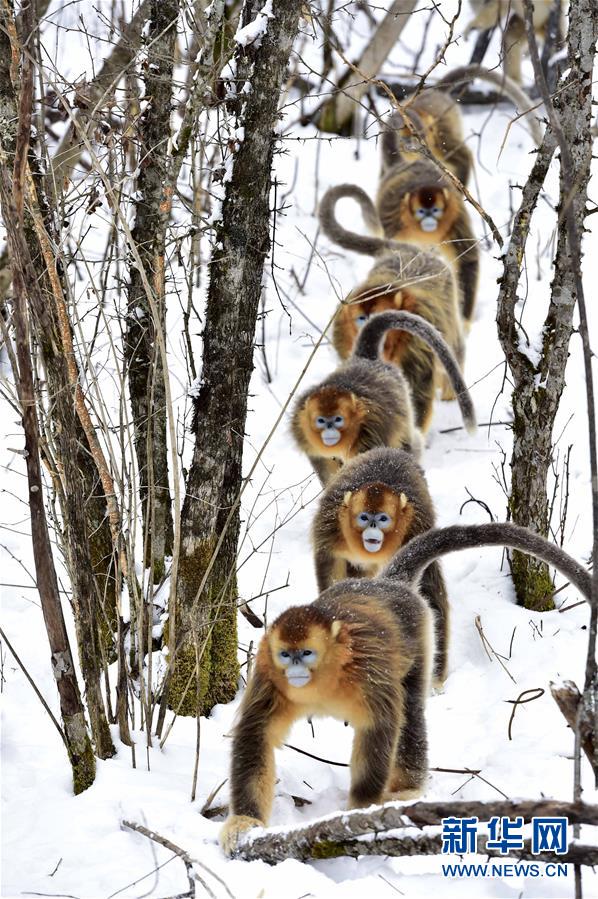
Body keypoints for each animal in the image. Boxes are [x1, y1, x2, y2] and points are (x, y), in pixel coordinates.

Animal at [221, 520, 592, 856]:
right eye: (286, 654)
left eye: (307, 653)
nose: (295, 669)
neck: (324, 679)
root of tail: (388, 583)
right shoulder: (268, 673)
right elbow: (256, 733)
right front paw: (244, 822)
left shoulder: (367, 669)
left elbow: (380, 726)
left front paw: (360, 810)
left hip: (418, 632)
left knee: (410, 708)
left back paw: (406, 789)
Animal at [292, 312, 478, 488]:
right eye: (321, 421)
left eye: (338, 420)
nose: (329, 430)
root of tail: (366, 359)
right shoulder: (305, 434)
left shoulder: (370, 432)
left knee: (406, 441)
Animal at [314, 446, 450, 684]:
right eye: (364, 518)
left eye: (383, 519)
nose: (373, 530)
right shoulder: (330, 523)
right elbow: (329, 566)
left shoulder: (415, 528)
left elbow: (430, 590)